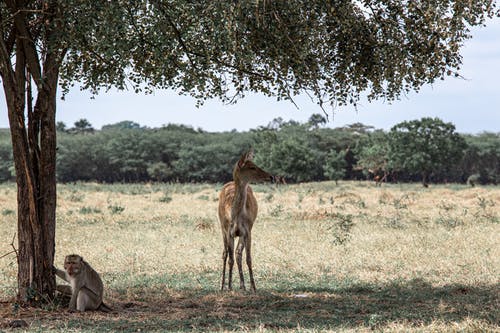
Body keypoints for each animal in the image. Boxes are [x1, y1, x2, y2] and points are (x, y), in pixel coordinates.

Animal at [218, 148, 274, 290]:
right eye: (252, 167)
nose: (270, 176)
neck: (236, 216)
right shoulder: (229, 231)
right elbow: (230, 258)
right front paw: (229, 287)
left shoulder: (247, 230)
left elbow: (247, 258)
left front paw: (253, 287)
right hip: (222, 228)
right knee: (225, 253)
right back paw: (222, 285)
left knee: (238, 253)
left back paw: (242, 285)